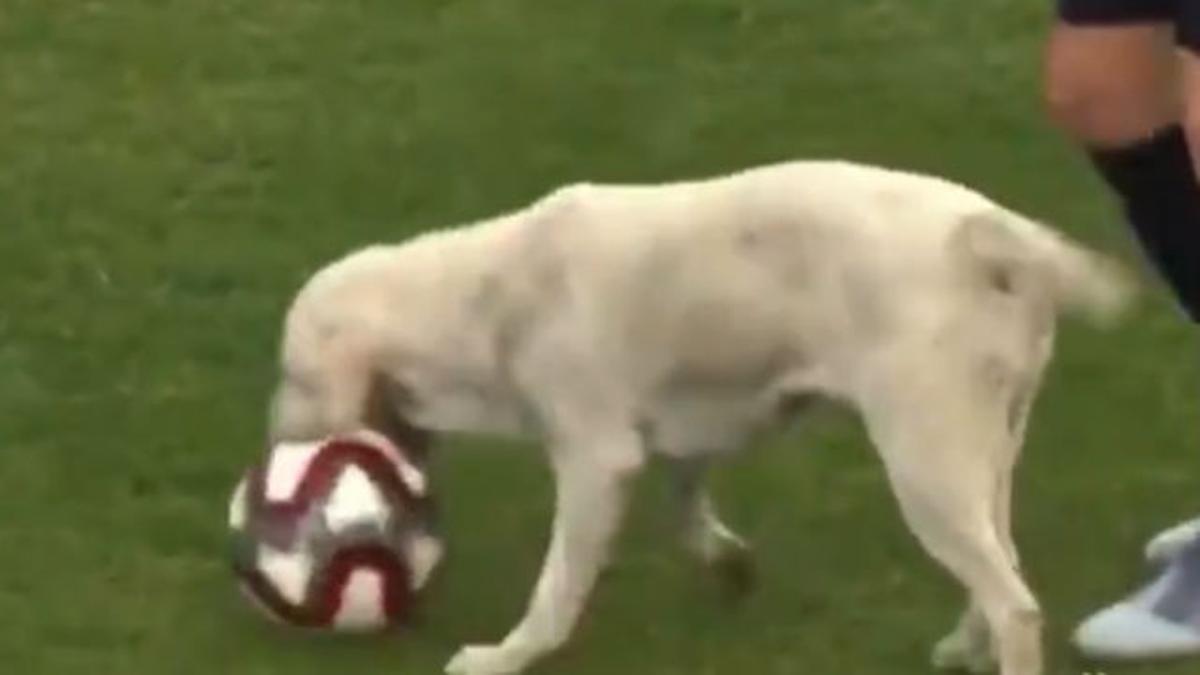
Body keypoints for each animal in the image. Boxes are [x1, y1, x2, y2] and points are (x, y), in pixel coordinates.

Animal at [267, 162, 1128, 672]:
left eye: (290, 373)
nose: (272, 438)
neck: (486, 293)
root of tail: (989, 235)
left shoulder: (596, 459)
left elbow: (556, 587)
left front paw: (508, 654)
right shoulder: (686, 432)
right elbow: (688, 506)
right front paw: (726, 561)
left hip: (923, 464)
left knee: (1015, 602)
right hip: (979, 456)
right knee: (1003, 566)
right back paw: (961, 643)